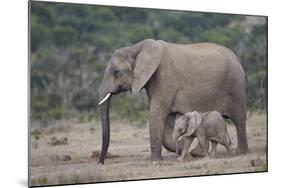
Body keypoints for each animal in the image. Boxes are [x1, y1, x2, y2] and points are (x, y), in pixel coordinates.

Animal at [97, 39, 246, 164]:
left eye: (116, 71)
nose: (101, 162)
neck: (136, 48)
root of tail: (236, 57)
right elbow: (167, 120)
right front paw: (182, 149)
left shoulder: (165, 79)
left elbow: (157, 114)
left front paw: (154, 161)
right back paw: (197, 153)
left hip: (236, 85)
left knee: (239, 120)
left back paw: (241, 153)